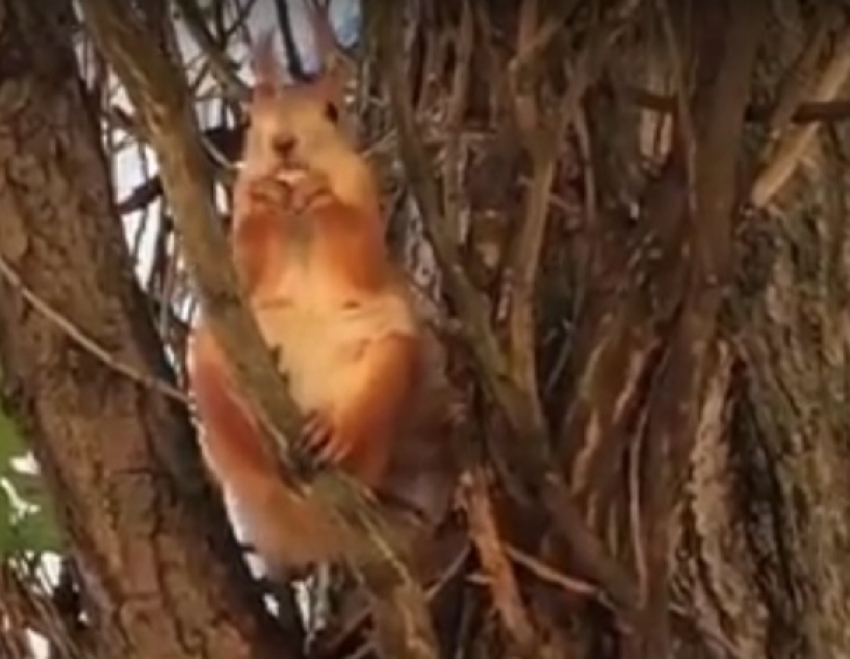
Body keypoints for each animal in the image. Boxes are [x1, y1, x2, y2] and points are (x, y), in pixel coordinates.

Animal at [186, 15, 458, 584]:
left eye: (332, 112)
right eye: (254, 117)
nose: (283, 143)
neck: (299, 224)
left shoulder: (365, 224)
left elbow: (356, 244)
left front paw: (323, 196)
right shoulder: (243, 235)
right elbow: (245, 259)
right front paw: (266, 200)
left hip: (389, 361)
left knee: (364, 427)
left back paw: (332, 433)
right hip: (212, 361)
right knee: (229, 417)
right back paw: (259, 438)